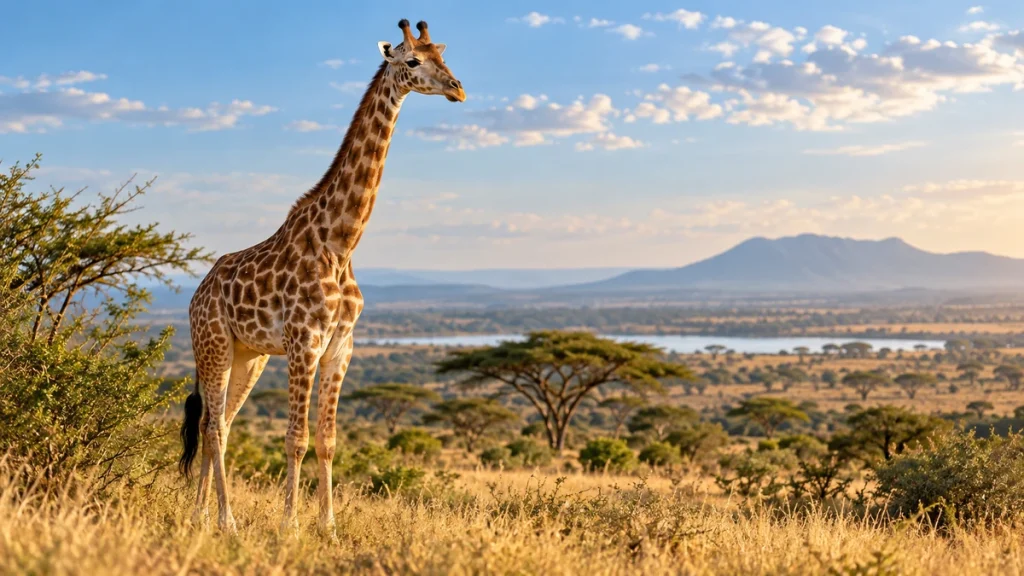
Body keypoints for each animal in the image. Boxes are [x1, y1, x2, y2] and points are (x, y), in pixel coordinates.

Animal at [178, 19, 465, 536]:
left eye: (445, 56)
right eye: (413, 60)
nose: (458, 88)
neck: (341, 242)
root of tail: (197, 294)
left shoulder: (340, 346)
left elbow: (328, 441)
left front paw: (327, 525)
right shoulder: (304, 342)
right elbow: (296, 437)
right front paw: (290, 524)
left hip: (249, 356)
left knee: (219, 424)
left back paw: (202, 516)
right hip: (213, 346)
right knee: (213, 426)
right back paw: (225, 520)